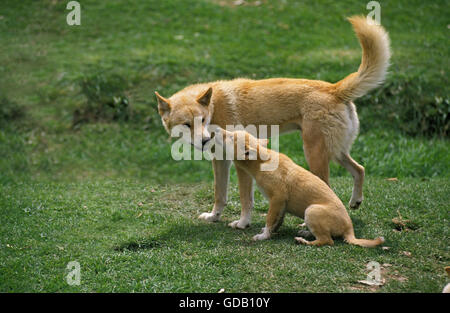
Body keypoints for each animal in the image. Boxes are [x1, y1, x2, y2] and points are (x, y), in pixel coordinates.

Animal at [155, 16, 390, 227]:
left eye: (202, 120)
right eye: (187, 124)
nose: (205, 140)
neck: (214, 108)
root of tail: (334, 88)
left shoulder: (241, 166)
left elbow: (245, 200)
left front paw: (243, 223)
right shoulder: (220, 161)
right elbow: (219, 194)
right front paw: (214, 217)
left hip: (314, 155)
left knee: (328, 186)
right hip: (336, 152)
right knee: (359, 169)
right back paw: (355, 201)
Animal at [214, 127, 384, 246]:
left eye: (230, 137)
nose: (215, 130)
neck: (262, 161)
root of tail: (349, 229)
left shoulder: (277, 198)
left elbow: (270, 218)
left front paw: (263, 236)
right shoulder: (281, 203)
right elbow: (277, 220)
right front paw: (271, 232)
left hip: (311, 211)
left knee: (327, 240)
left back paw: (304, 241)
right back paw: (306, 233)